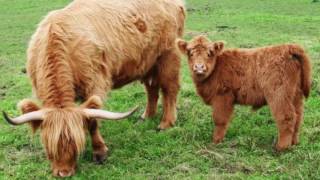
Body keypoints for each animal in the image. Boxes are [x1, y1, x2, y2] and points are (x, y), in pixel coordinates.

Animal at [1, 0, 185, 177]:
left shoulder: (95, 83)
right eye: (48, 146)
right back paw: (146, 116)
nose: (63, 173)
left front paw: (100, 152)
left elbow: (93, 120)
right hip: (148, 62)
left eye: (76, 145)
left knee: (170, 89)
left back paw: (166, 123)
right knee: (152, 88)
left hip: (169, 55)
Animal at [176, 35, 312, 151]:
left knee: (287, 117)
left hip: (279, 95)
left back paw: (281, 147)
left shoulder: (223, 97)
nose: (199, 67)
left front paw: (216, 141)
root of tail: (288, 48)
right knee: (298, 117)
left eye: (209, 53)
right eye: (190, 53)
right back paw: (294, 143)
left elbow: (219, 120)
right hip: (296, 95)